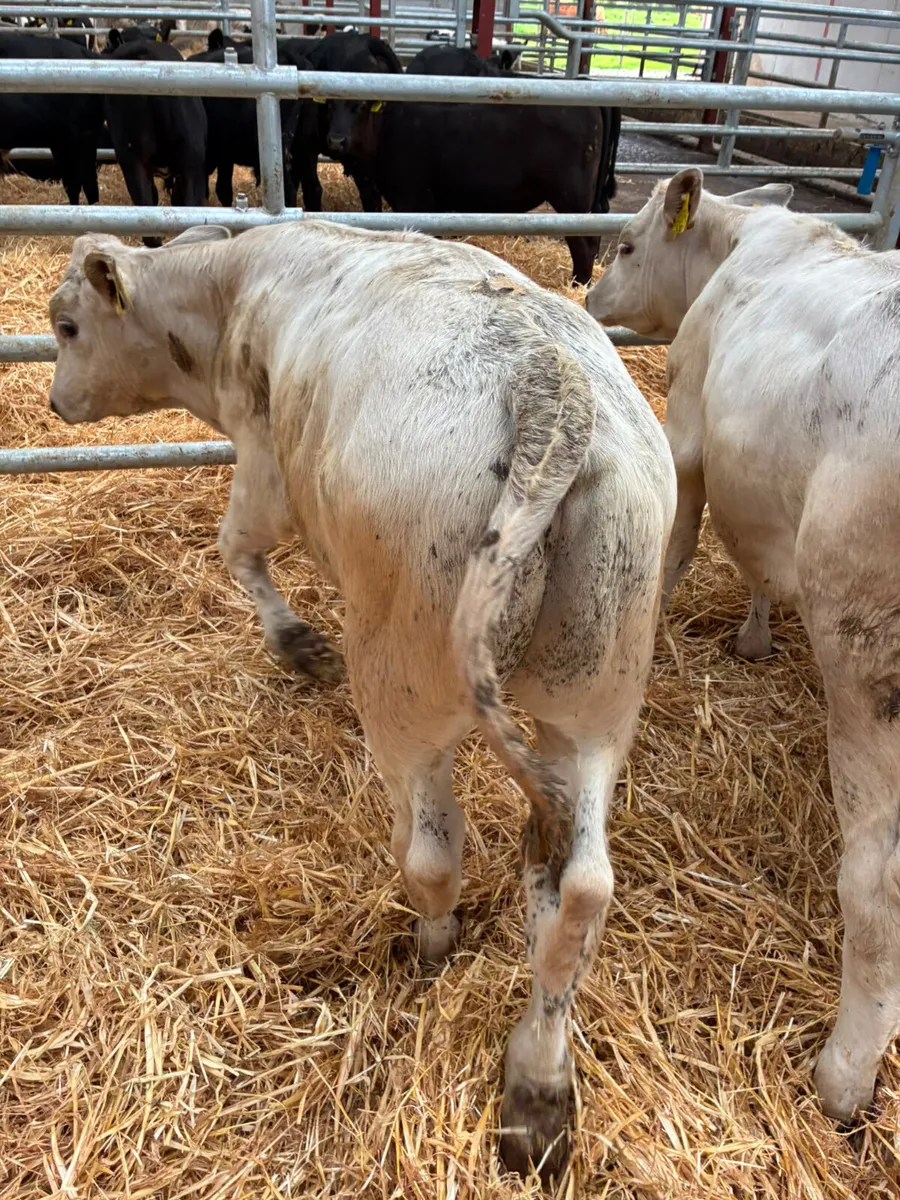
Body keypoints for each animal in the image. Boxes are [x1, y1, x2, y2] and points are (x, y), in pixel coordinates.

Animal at [47, 220, 675, 1181]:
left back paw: (431, 950)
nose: (54, 403)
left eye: (68, 326)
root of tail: (547, 385)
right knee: (579, 888)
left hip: (405, 691)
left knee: (433, 851)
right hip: (593, 706)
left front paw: (295, 643)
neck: (233, 289)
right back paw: (538, 1088)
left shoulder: (262, 464)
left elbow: (238, 550)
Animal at [322, 44, 621, 284]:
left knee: (583, 246)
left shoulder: (414, 201)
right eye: (330, 107)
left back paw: (578, 286)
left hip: (572, 198)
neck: (388, 126)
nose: (336, 140)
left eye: (360, 106)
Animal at [587, 166, 900, 1124]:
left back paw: (844, 1075)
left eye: (626, 243)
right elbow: (760, 566)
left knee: (878, 883)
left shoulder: (687, 433)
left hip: (869, 666)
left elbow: (679, 545)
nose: (590, 294)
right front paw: (757, 637)